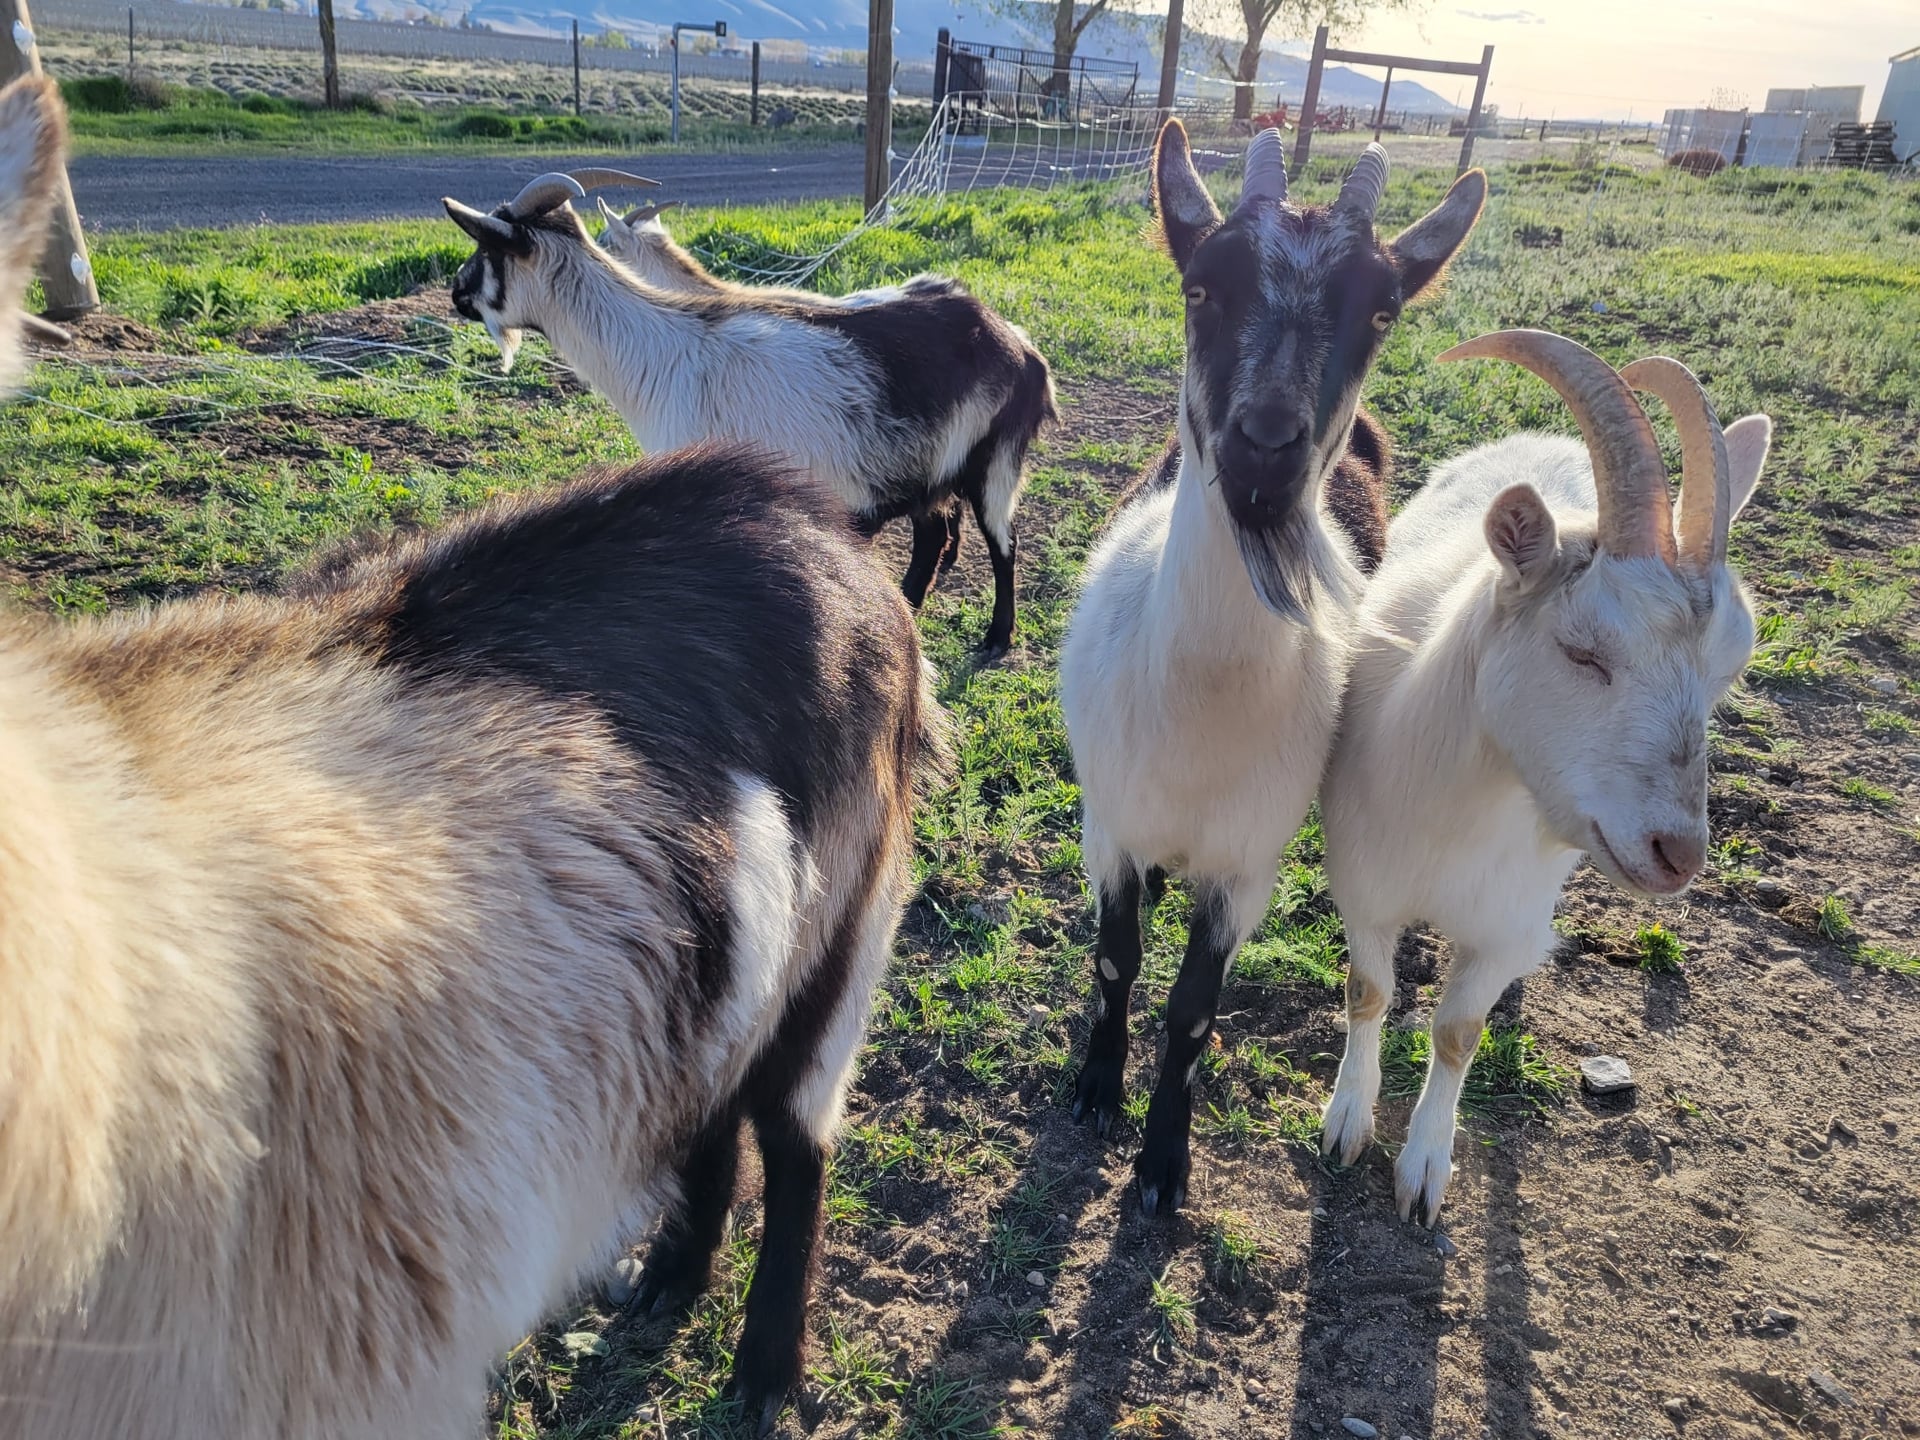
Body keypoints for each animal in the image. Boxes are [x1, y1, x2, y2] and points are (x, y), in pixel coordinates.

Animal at [0, 76, 937, 1440]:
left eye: (483, 252)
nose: (448, 301)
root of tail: (812, 529)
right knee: (711, 1104)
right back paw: (668, 1280)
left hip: (843, 927)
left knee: (795, 1131)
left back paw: (765, 1368)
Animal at [445, 172, 1057, 660]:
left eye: (484, 250)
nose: (454, 293)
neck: (656, 351)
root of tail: (1022, 349)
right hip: (925, 469)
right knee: (932, 535)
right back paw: (907, 607)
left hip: (995, 462)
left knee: (1003, 543)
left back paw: (996, 639)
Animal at [1058, 120, 1485, 1215]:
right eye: (1200, 287)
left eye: (1381, 310)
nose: (1265, 450)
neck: (1196, 712)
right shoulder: (1107, 822)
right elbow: (1116, 962)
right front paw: (1094, 1090)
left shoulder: (1247, 865)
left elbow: (1194, 1008)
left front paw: (1162, 1164)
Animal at [1319, 329, 1772, 1226]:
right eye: (1582, 651)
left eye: (1727, 670)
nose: (1678, 853)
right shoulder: (1366, 883)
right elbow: (1368, 992)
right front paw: (1347, 1121)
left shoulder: (1506, 923)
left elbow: (1458, 1033)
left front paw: (1426, 1168)